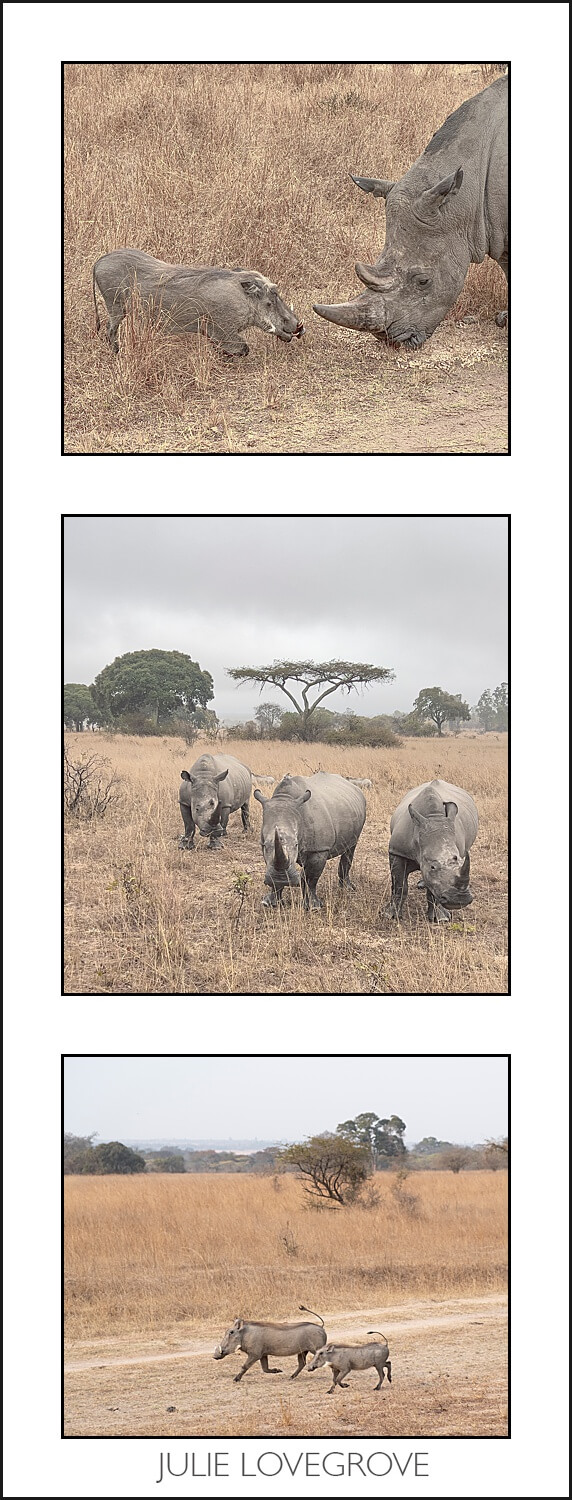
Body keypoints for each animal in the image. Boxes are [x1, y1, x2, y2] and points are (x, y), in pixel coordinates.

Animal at [93, 250, 304, 355]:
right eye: (269, 302)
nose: (299, 327)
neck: (243, 300)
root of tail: (99, 261)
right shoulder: (223, 330)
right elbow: (244, 348)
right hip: (116, 306)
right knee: (110, 330)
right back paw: (117, 353)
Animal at [253, 772, 366, 909]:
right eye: (265, 845)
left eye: (296, 844)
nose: (282, 879)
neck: (285, 798)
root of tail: (354, 787)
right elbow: (272, 866)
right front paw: (270, 903)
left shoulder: (319, 849)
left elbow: (310, 878)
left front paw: (313, 907)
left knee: (351, 847)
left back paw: (348, 889)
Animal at [388, 779, 479, 923]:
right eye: (432, 867)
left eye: (460, 862)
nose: (459, 900)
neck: (434, 816)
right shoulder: (398, 851)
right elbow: (400, 885)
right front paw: (391, 915)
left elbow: (433, 889)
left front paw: (440, 919)